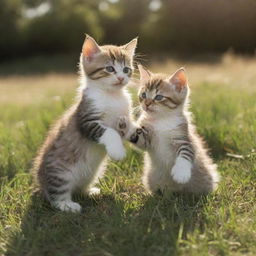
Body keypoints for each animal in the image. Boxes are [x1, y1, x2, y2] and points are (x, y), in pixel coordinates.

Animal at [32, 35, 137, 213]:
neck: (112, 96)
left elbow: (127, 128)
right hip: (59, 172)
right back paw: (67, 205)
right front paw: (118, 152)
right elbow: (110, 132)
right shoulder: (86, 120)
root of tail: (40, 183)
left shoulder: (124, 117)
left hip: (94, 173)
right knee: (55, 194)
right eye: (110, 69)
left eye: (126, 69)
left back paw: (90, 191)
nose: (121, 78)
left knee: (81, 187)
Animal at [117, 65, 219, 193]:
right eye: (144, 95)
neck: (161, 120)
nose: (147, 104)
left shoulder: (184, 138)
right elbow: (138, 138)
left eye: (159, 97)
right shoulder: (147, 140)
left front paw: (181, 173)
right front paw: (125, 124)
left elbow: (186, 152)